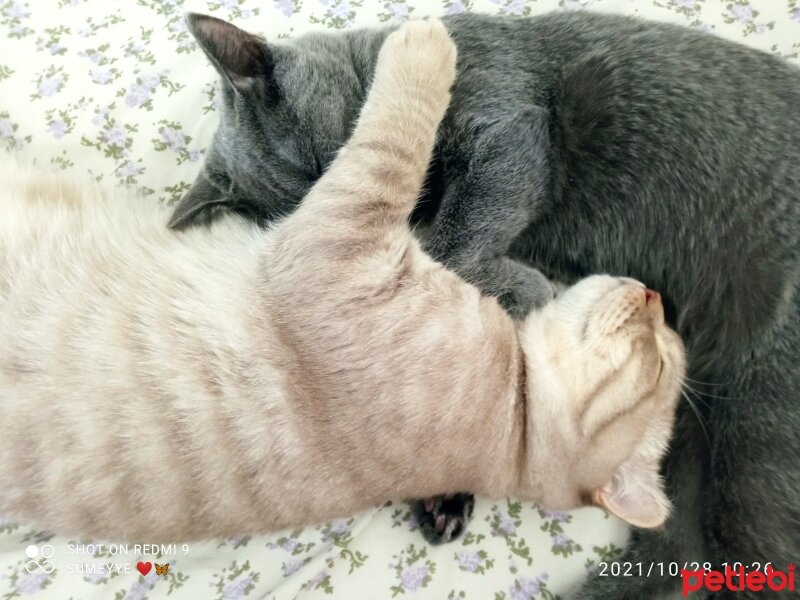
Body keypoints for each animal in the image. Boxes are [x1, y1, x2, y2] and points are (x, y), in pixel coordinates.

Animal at [172, 10, 800, 600]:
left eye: (336, 165)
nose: (380, 207)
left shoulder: (505, 121)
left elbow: (450, 247)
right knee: (678, 554)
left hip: (757, 433)